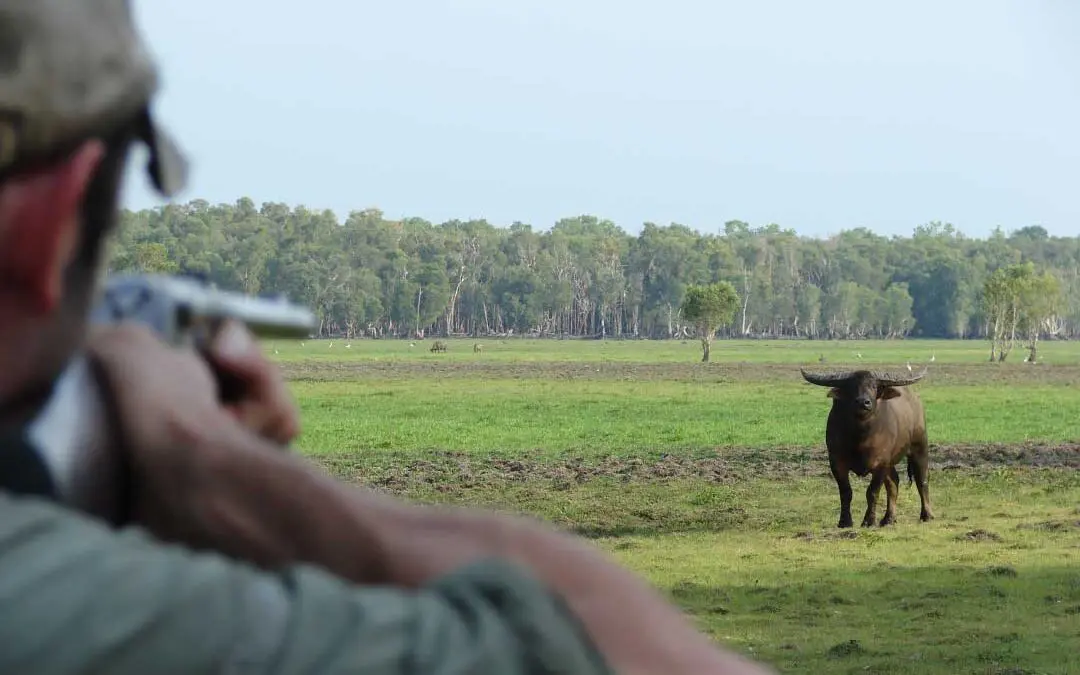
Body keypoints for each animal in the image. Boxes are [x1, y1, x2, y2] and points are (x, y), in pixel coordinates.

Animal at [799, 369, 933, 527]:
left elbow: (872, 492)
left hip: (920, 446)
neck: (861, 437)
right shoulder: (837, 462)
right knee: (894, 482)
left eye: (874, 386)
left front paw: (869, 521)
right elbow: (846, 492)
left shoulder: (881, 463)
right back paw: (889, 518)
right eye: (850, 386)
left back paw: (927, 515)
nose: (863, 402)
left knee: (922, 480)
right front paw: (845, 521)